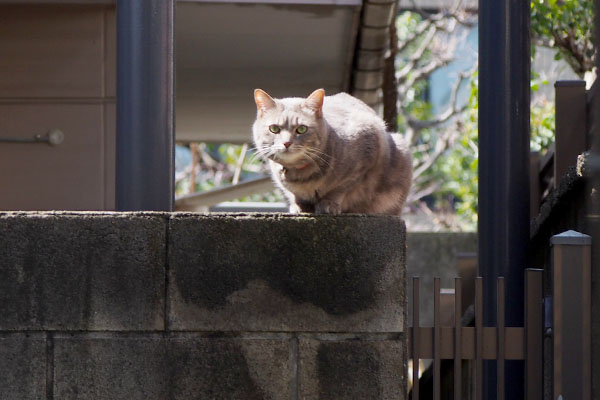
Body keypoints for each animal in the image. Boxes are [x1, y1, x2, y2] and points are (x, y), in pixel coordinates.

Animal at [251, 88, 410, 214]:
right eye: (274, 128)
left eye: (301, 129)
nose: (286, 143)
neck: (302, 176)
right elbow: (294, 193)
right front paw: (299, 206)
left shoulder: (366, 152)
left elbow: (340, 188)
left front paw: (329, 204)